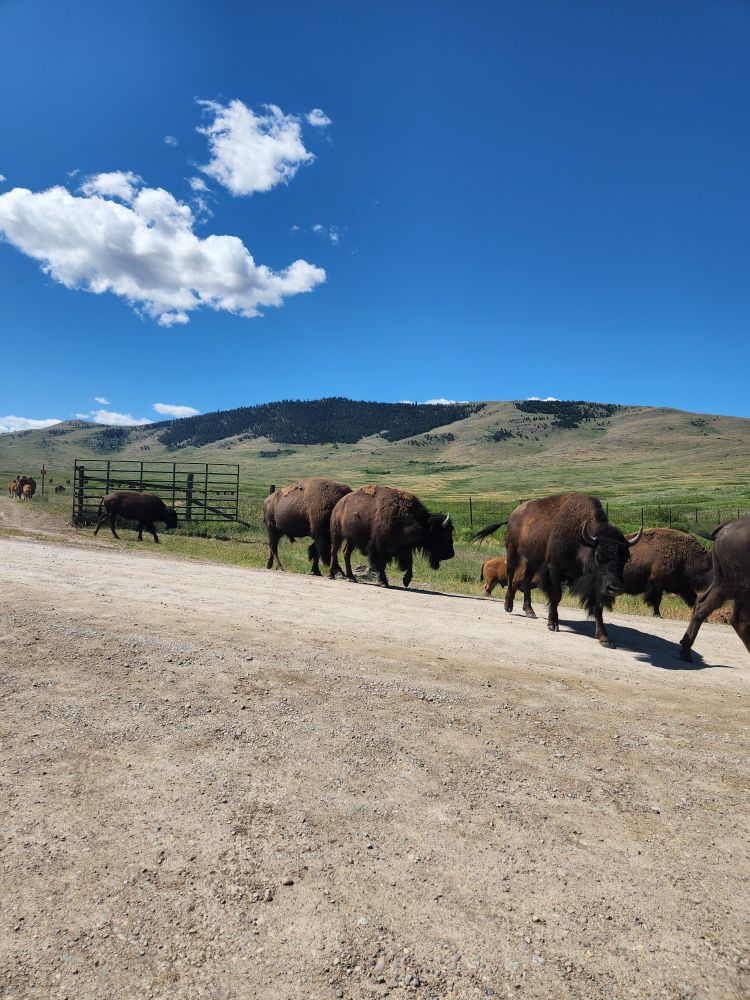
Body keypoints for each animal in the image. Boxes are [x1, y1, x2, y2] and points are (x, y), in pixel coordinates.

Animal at [472, 493, 641, 647]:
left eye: (626, 558)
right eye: (598, 556)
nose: (615, 588)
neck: (582, 540)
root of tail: (514, 514)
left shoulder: (594, 584)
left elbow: (597, 606)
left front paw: (605, 638)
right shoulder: (554, 569)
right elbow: (556, 596)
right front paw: (552, 624)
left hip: (532, 561)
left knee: (526, 582)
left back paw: (530, 611)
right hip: (512, 551)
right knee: (511, 574)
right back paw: (508, 606)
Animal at [680, 517, 750, 662]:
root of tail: (729, 525)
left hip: (723, 584)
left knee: (701, 602)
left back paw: (685, 650)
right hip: (736, 588)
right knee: (738, 619)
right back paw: (686, 652)